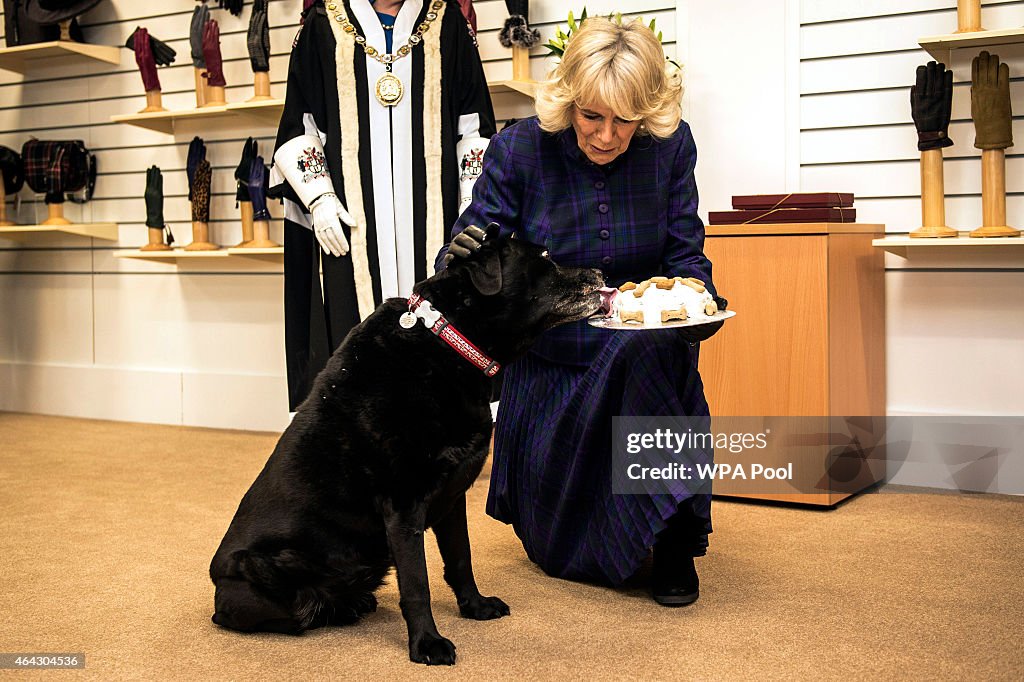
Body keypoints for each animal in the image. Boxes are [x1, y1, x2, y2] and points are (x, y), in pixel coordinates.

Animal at [210, 225, 602, 659]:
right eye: (545, 258)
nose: (600, 273)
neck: (448, 340)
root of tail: (218, 592)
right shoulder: (403, 505)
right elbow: (417, 585)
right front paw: (427, 644)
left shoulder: (453, 497)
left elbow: (461, 560)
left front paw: (475, 607)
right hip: (258, 571)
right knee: (287, 614)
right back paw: (336, 607)